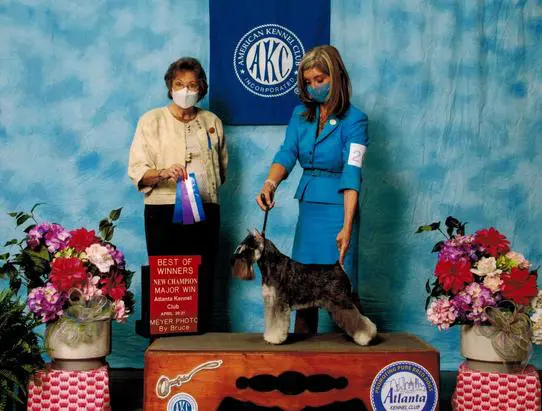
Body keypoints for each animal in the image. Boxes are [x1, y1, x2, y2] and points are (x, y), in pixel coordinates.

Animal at [231, 232, 378, 348]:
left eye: (247, 247)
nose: (234, 260)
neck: (272, 264)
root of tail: (338, 267)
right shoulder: (271, 303)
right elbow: (271, 322)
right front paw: (269, 337)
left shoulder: (279, 304)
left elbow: (277, 323)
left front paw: (275, 339)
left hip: (342, 302)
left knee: (359, 320)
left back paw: (366, 337)